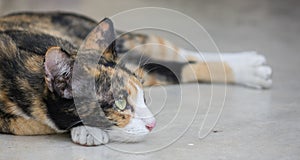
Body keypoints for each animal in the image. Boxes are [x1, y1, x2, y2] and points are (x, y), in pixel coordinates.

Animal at [0, 11, 272, 146]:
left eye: (144, 98)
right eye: (120, 104)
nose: (153, 124)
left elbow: (184, 68)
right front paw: (86, 131)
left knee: (179, 55)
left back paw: (250, 65)